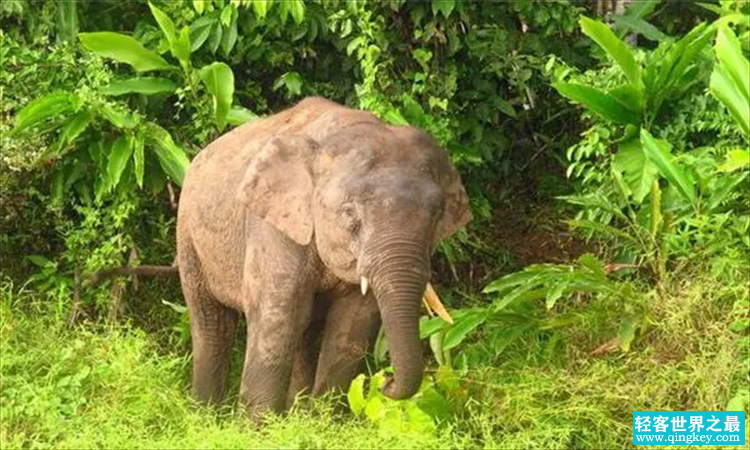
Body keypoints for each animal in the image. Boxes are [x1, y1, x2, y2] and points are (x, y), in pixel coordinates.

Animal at [176, 96, 470, 416]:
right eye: (349, 213)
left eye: (437, 214)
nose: (385, 382)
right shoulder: (272, 225)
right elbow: (277, 315)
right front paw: (258, 426)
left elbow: (352, 324)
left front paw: (321, 420)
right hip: (188, 233)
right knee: (211, 321)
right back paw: (204, 415)